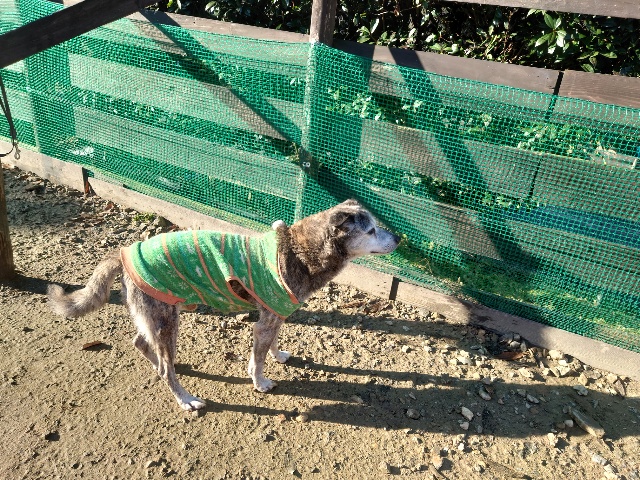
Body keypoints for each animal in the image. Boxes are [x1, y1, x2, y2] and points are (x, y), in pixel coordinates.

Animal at [48, 200, 400, 411]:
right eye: (371, 230)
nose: (398, 239)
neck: (300, 251)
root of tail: (123, 254)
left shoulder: (274, 314)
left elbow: (273, 342)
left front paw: (279, 355)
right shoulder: (265, 321)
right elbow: (257, 359)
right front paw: (261, 383)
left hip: (157, 314)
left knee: (141, 343)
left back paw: (160, 364)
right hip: (167, 320)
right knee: (165, 368)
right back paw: (186, 399)